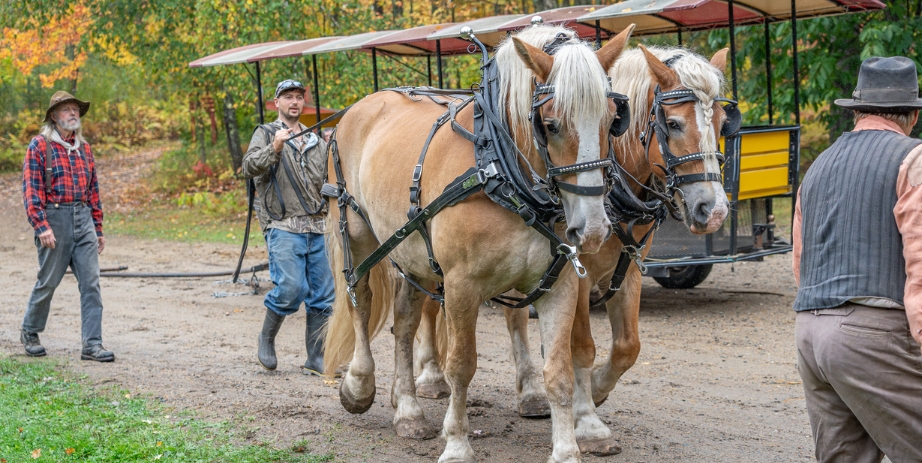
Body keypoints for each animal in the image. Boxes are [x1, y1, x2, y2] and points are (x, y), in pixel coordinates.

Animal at [324, 25, 632, 463]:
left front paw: (567, 449)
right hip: (355, 232)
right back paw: (359, 385)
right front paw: (456, 443)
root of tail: (358, 107)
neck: (502, 172)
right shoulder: (461, 285)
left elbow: (558, 370)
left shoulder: (560, 284)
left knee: (405, 322)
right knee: (361, 301)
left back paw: (408, 410)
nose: (590, 229)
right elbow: (461, 365)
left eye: (611, 122)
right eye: (551, 124)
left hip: (411, 249)